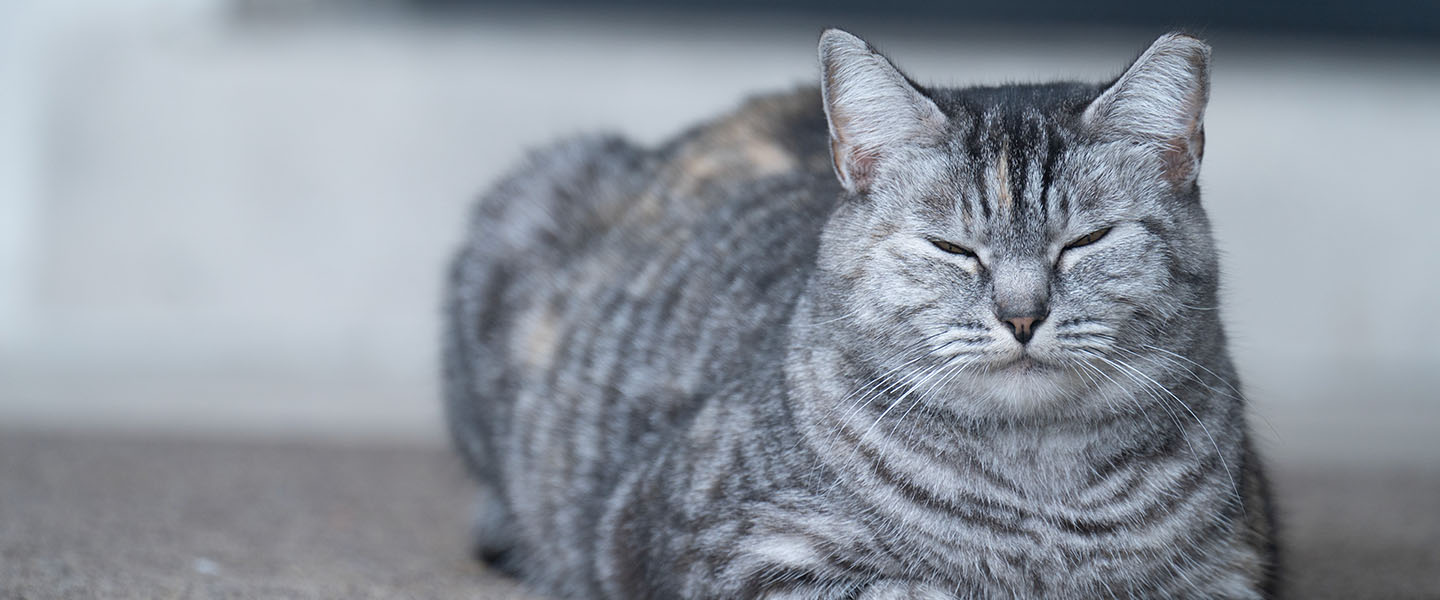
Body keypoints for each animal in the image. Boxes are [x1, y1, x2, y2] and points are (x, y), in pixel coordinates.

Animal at [443, 29, 1278, 598]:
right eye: (952, 248)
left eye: (1087, 241)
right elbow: (912, 590)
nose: (1021, 314)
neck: (1040, 495)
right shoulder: (721, 549)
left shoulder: (1238, 563)